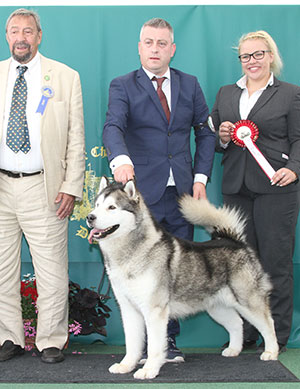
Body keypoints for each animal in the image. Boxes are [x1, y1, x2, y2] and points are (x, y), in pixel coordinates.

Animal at [86, 178, 278, 378]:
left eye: (112, 207)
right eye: (97, 205)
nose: (90, 217)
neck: (130, 253)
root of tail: (234, 241)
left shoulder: (155, 311)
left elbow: (154, 345)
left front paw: (149, 370)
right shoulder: (129, 309)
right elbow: (132, 343)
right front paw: (126, 365)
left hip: (248, 301)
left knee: (268, 324)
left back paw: (271, 352)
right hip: (217, 308)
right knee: (237, 323)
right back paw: (233, 349)